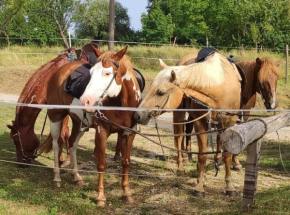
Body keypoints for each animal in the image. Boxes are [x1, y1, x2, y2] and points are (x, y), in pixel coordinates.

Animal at [44, 45, 142, 207]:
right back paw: (57, 178)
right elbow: (101, 164)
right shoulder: (101, 131)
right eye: (91, 73)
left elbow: (126, 162)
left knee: (72, 144)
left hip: (79, 122)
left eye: (107, 73)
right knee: (56, 145)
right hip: (56, 116)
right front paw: (101, 197)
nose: (86, 101)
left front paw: (126, 193)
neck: (120, 104)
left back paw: (76, 177)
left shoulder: (129, 133)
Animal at [135, 51, 241, 197]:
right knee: (179, 137)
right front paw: (200, 187)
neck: (220, 88)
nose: (138, 115)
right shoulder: (201, 123)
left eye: (161, 92)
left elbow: (227, 156)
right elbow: (202, 156)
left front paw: (230, 187)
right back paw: (181, 167)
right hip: (179, 115)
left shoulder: (228, 124)